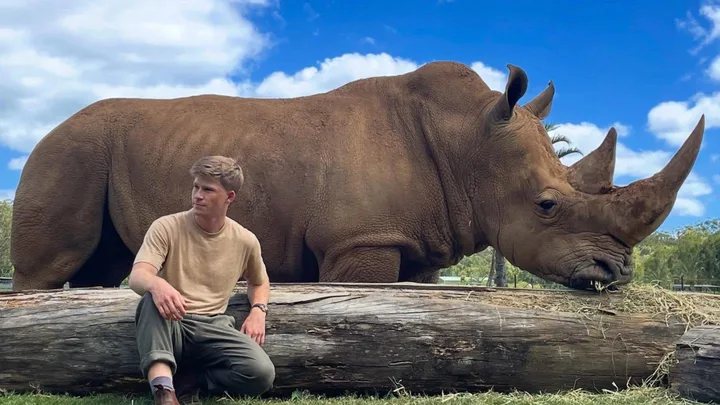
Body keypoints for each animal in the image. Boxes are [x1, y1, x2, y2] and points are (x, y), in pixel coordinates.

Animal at [10, 61, 703, 292]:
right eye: (547, 205)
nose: (619, 273)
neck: (468, 141)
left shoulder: (418, 239)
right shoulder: (360, 240)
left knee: (101, 268)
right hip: (66, 151)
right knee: (48, 270)